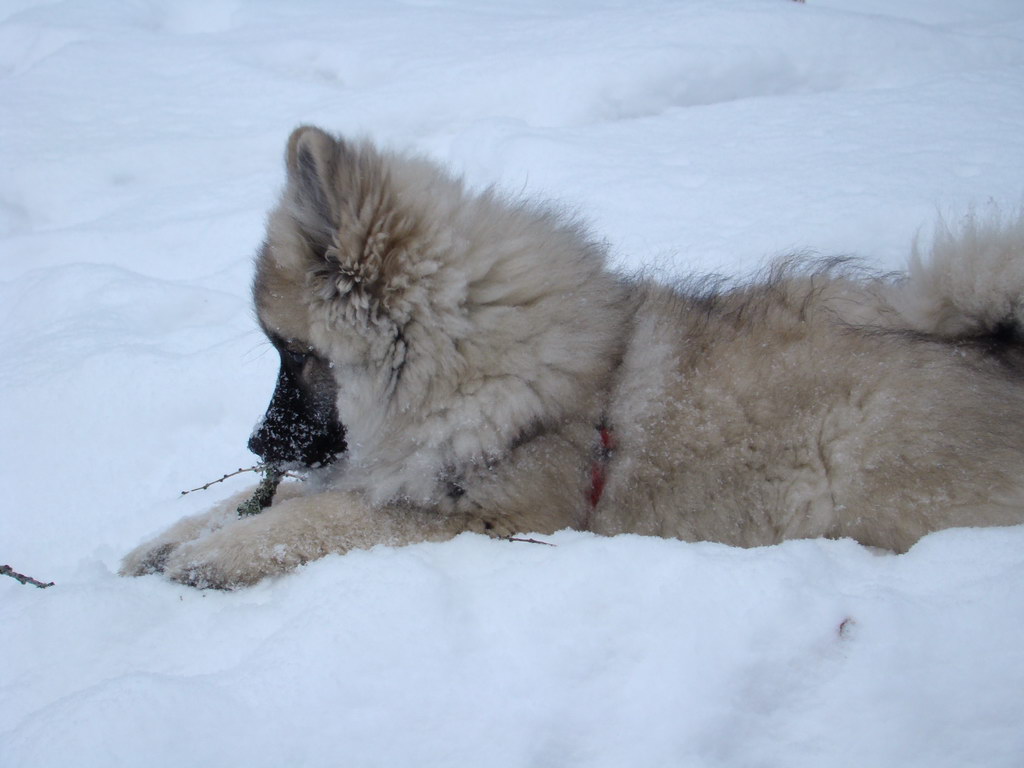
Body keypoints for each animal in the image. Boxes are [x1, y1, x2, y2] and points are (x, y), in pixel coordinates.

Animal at [121, 124, 1024, 589]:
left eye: (295, 353)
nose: (254, 443)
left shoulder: (493, 515)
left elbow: (325, 515)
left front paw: (216, 554)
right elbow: (266, 501)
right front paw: (169, 538)